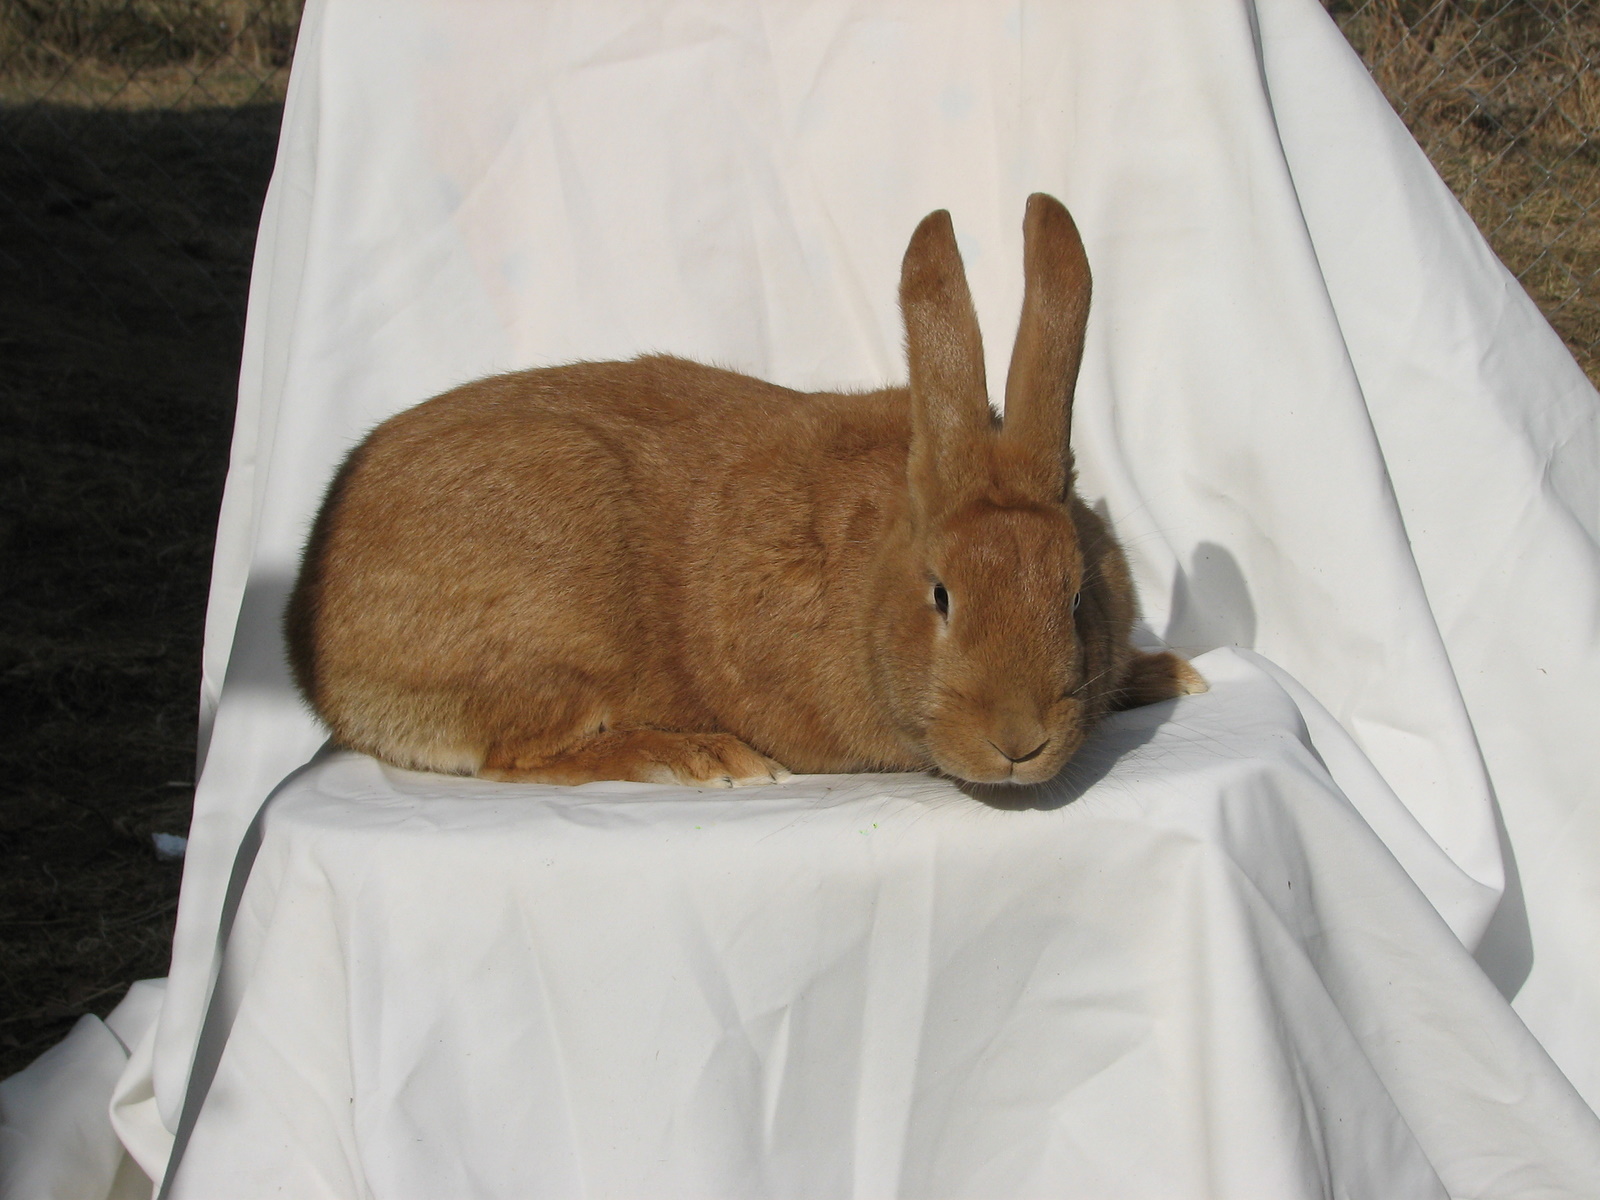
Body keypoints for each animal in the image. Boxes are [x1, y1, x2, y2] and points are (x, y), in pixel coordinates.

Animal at [285, 193, 1205, 789]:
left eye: (1076, 596)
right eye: (941, 596)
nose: (1018, 741)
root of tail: (312, 649)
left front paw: (1167, 673)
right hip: (545, 636)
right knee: (517, 754)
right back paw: (689, 757)